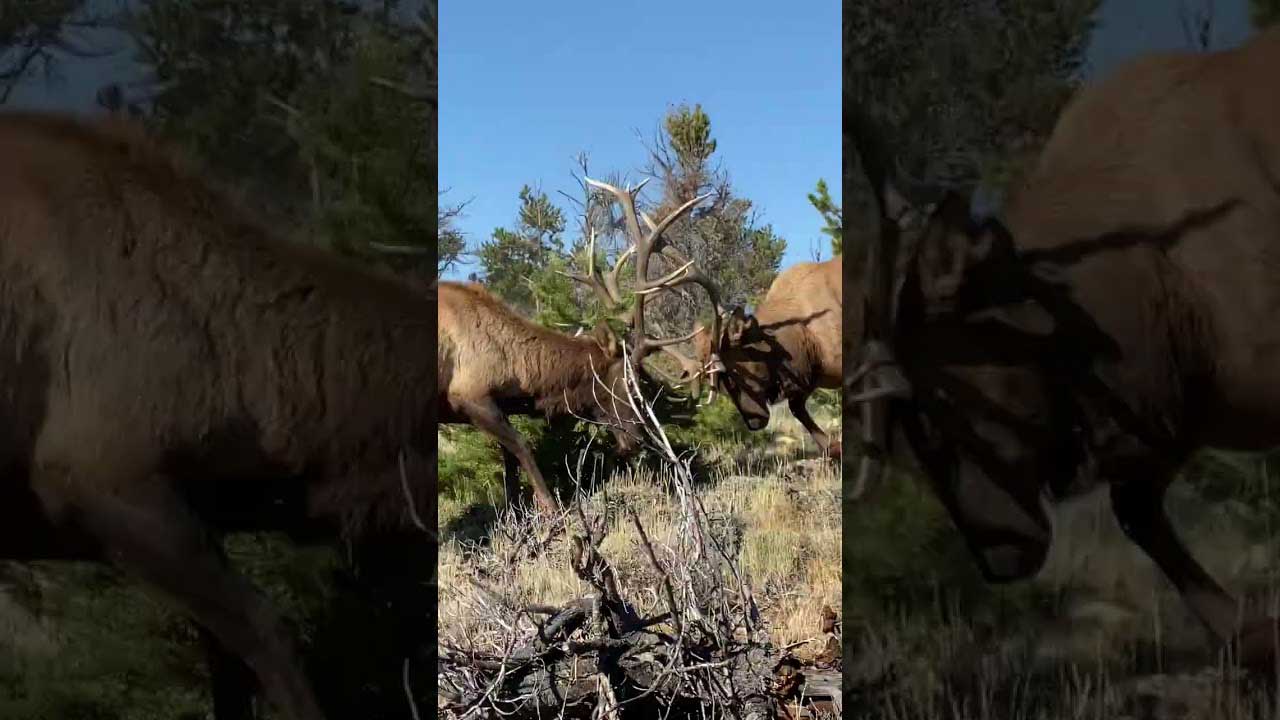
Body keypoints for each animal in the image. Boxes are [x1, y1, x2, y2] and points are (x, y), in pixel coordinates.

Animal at [438, 177, 722, 511]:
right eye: (632, 380)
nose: (636, 439)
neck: (517, 376)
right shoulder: (468, 393)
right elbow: (522, 447)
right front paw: (551, 509)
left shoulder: (495, 402)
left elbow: (509, 467)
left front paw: (515, 512)